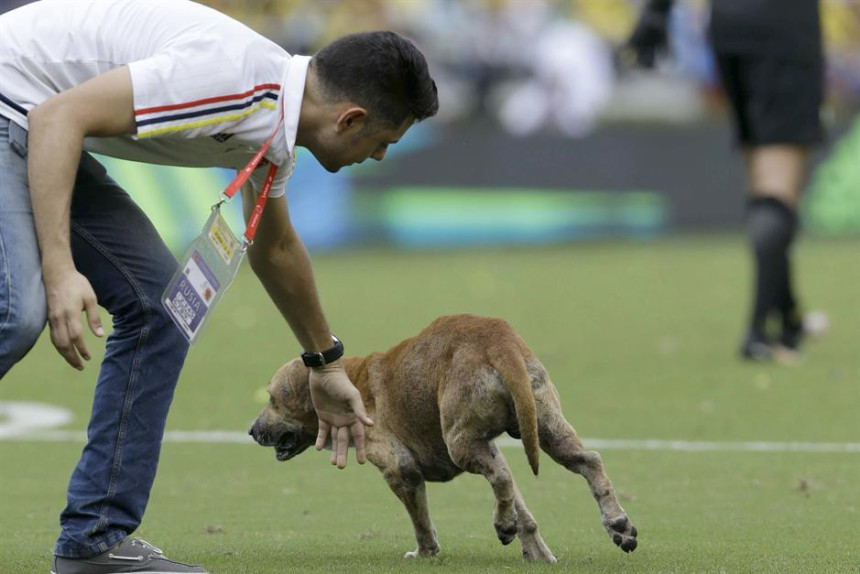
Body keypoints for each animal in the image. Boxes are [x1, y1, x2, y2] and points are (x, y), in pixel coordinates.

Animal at [249, 316, 640, 564]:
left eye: (273, 398)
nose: (252, 430)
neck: (351, 382)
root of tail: (499, 340)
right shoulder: (491, 447)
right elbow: (522, 507)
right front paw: (536, 551)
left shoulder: (401, 472)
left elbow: (421, 521)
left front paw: (425, 552)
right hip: (546, 429)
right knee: (588, 461)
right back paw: (617, 523)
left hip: (461, 444)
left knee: (501, 479)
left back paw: (502, 524)